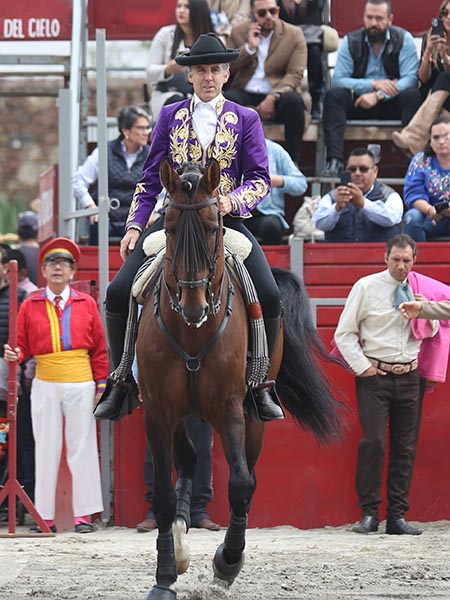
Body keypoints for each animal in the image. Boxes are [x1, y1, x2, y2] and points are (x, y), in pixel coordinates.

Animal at [137, 157, 342, 596]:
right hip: (181, 413)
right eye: (169, 228)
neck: (192, 332)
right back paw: (179, 543)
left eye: (214, 226)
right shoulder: (158, 411)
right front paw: (164, 577)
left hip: (252, 414)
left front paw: (227, 562)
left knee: (243, 473)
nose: (194, 305)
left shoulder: (230, 406)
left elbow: (242, 484)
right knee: (188, 460)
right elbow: (162, 493)